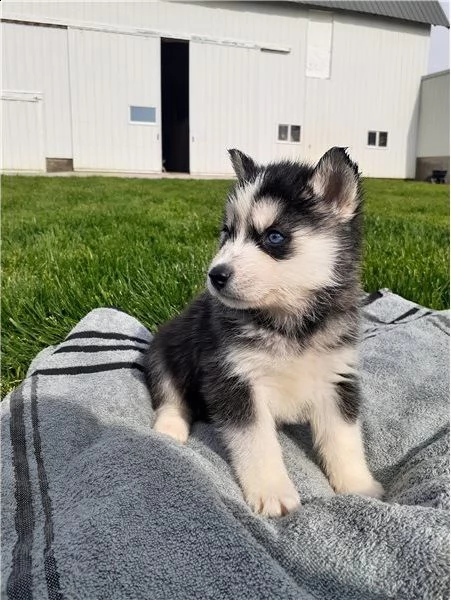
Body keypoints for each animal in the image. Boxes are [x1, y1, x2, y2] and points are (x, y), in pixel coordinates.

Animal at [144, 149, 382, 516]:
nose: (216, 275)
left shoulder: (337, 378)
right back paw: (170, 430)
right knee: (169, 395)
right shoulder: (234, 379)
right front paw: (273, 491)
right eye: (227, 232)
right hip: (166, 349)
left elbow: (345, 440)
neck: (289, 323)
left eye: (274, 236)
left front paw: (360, 487)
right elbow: (257, 443)